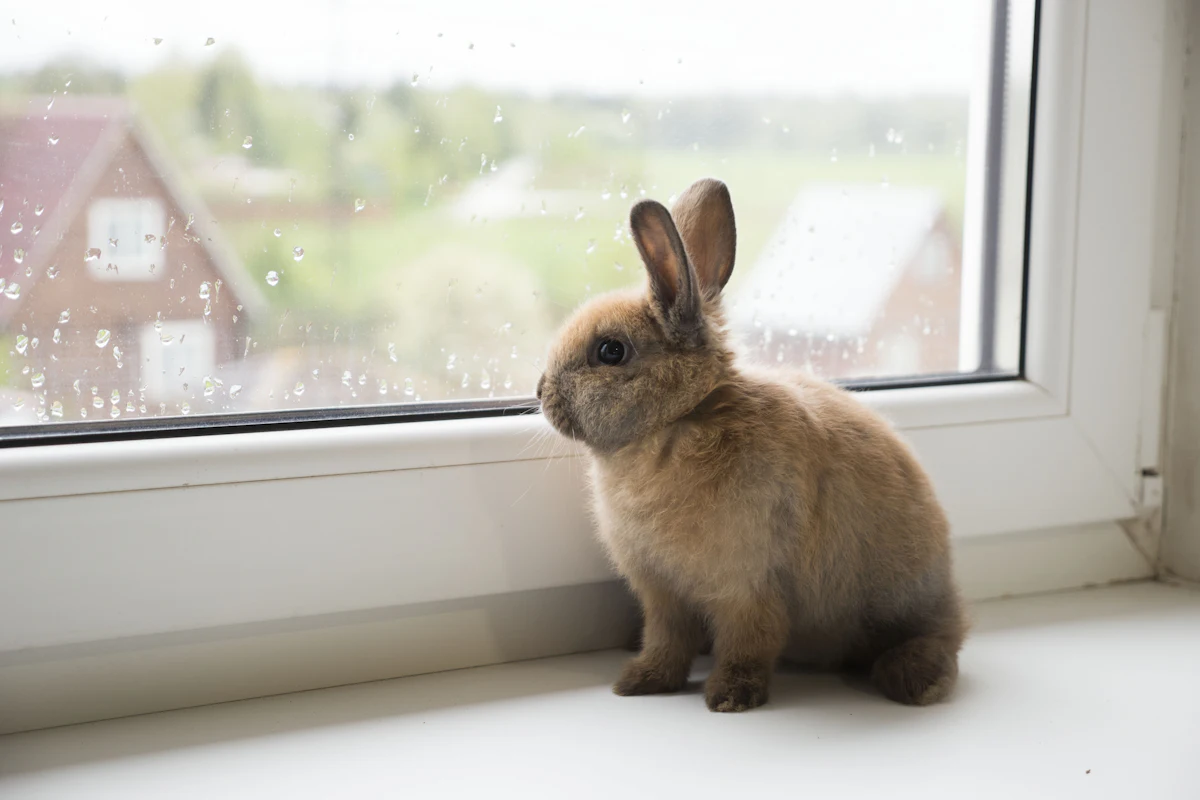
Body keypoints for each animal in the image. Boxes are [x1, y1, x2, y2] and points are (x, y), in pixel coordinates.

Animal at [537, 178, 965, 712]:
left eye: (610, 351)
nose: (540, 392)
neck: (680, 420)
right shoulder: (663, 595)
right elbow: (666, 640)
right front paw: (640, 682)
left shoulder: (748, 587)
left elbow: (750, 641)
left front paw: (730, 697)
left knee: (942, 639)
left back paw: (914, 680)